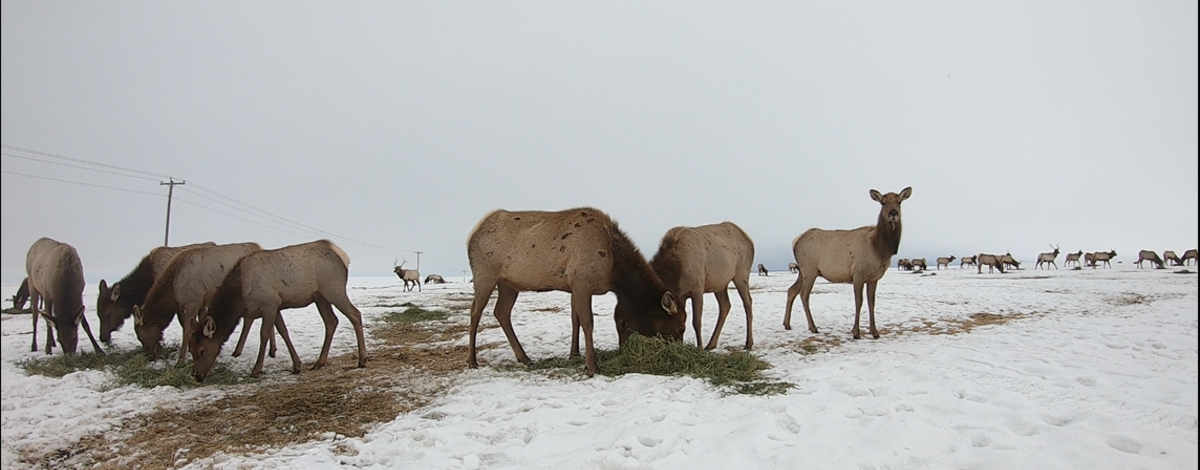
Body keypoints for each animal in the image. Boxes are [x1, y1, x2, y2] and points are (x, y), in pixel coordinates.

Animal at [130, 242, 260, 366]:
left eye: (140, 336)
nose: (149, 356)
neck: (174, 290)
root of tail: (258, 246)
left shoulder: (193, 303)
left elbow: (186, 331)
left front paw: (180, 361)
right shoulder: (199, 303)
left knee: (249, 319)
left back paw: (238, 351)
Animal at [189, 240, 367, 378]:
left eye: (203, 350)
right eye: (191, 349)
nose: (197, 376)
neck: (240, 295)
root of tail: (343, 256)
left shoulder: (270, 303)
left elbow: (264, 334)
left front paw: (256, 370)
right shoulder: (277, 306)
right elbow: (283, 332)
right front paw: (297, 365)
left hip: (333, 289)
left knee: (355, 314)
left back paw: (362, 360)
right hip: (320, 297)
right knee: (331, 321)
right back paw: (319, 362)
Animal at [463, 207, 681, 376]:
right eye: (680, 327)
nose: (679, 349)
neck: (613, 266)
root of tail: (471, 236)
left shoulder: (575, 285)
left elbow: (575, 319)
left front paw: (574, 354)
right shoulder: (582, 281)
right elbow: (587, 322)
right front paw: (592, 366)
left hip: (508, 284)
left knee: (501, 312)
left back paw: (524, 358)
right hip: (484, 274)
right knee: (475, 312)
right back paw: (472, 361)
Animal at [652, 221, 753, 350]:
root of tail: (749, 240)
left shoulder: (697, 289)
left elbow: (696, 321)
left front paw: (699, 347)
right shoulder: (681, 296)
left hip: (742, 274)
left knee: (748, 302)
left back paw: (749, 343)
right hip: (720, 283)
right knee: (725, 305)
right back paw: (711, 344)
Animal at [782, 185, 912, 338]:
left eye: (899, 201)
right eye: (883, 202)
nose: (893, 213)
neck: (880, 249)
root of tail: (795, 241)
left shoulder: (874, 278)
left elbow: (871, 303)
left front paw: (875, 332)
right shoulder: (858, 273)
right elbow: (859, 301)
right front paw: (856, 332)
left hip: (802, 271)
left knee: (791, 290)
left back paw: (787, 324)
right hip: (809, 269)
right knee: (804, 295)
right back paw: (813, 327)